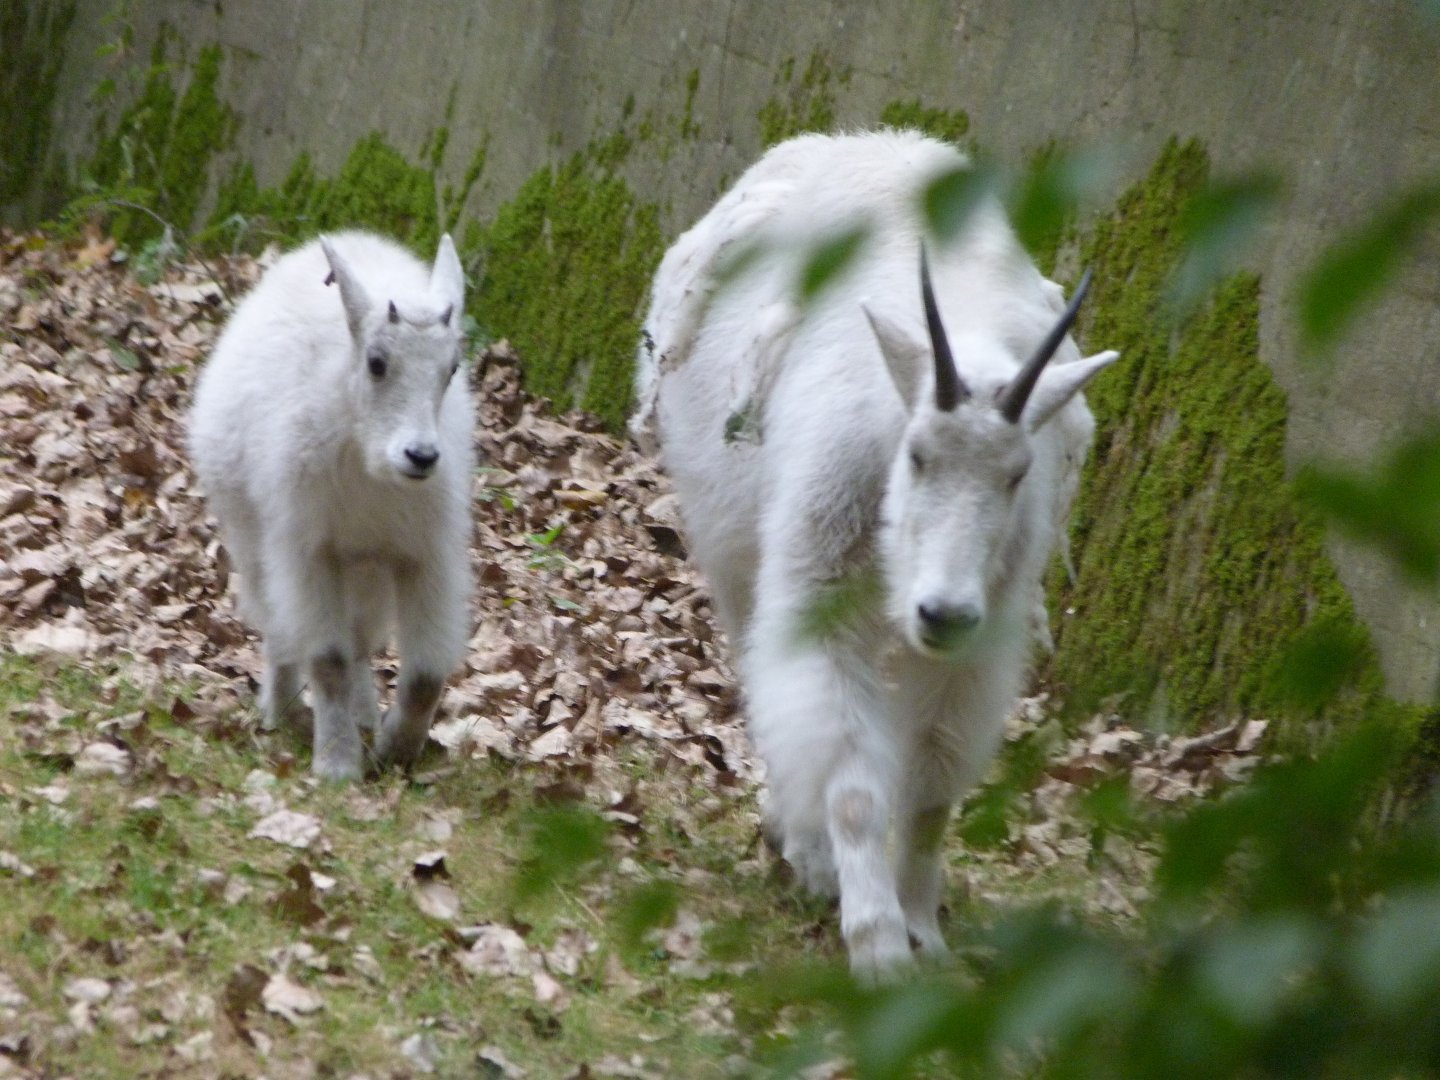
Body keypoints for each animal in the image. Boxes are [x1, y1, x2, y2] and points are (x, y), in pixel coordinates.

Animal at [189, 230, 473, 781]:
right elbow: (328, 659)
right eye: (377, 362)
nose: (420, 456)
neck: (371, 463)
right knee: (280, 628)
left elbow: (424, 676)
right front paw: (338, 765)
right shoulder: (308, 550)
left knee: (362, 640)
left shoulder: (422, 554)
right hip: (252, 538)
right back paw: (279, 710)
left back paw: (364, 715)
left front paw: (393, 752)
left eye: (451, 368)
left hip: (368, 572)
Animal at [634, 130, 1118, 978]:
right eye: (917, 455)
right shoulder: (821, 586)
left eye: (1017, 473)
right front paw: (878, 943)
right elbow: (852, 780)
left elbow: (931, 783)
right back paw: (802, 848)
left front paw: (922, 925)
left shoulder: (977, 646)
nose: (940, 612)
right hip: (731, 543)